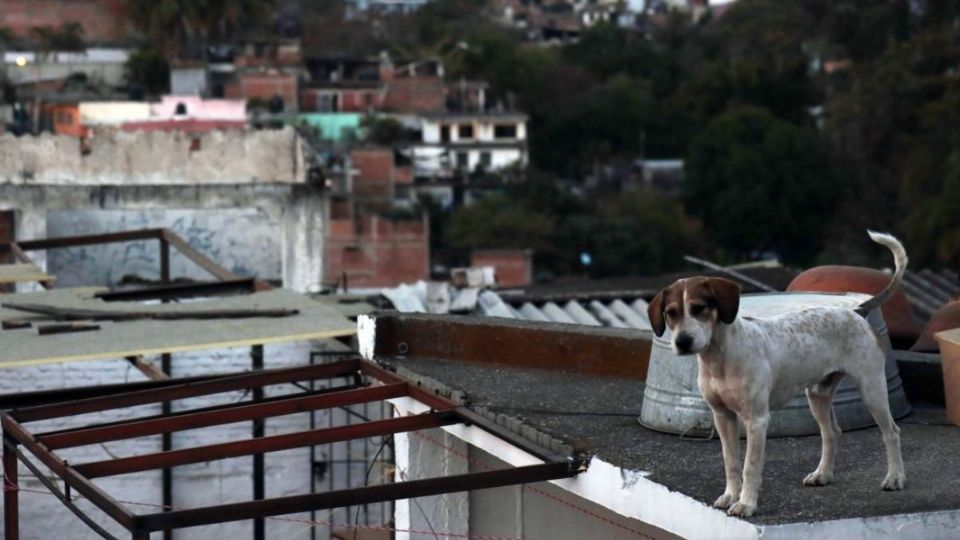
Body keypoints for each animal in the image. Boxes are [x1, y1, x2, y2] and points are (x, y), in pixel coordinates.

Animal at [644, 230, 908, 516]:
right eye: (670, 313)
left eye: (699, 308)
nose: (682, 342)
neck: (720, 360)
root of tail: (857, 311)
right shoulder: (722, 417)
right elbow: (731, 463)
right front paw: (730, 495)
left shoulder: (757, 420)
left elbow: (749, 467)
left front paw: (745, 503)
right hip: (818, 395)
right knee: (832, 433)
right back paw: (822, 474)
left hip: (872, 390)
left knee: (891, 432)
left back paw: (895, 478)